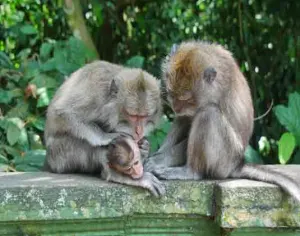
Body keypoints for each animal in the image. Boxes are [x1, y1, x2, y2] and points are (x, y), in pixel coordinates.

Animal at [44, 60, 165, 197]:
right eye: (133, 116)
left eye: (144, 116)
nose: (139, 131)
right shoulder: (94, 93)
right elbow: (63, 112)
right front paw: (106, 137)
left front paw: (144, 147)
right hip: (59, 157)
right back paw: (114, 174)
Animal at [144, 40, 300, 201]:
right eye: (171, 93)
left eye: (185, 99)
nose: (175, 107)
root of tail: (237, 164)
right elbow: (184, 118)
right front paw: (154, 154)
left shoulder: (212, 96)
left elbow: (200, 115)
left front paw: (159, 160)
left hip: (225, 159)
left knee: (209, 114)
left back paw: (190, 171)